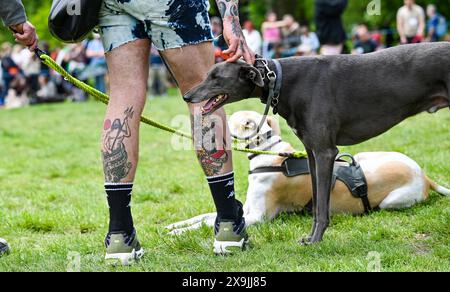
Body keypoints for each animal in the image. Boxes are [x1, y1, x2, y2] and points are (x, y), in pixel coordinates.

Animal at [167, 112, 448, 235]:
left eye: (234, 119)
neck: (270, 153)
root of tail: (425, 177)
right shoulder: (245, 209)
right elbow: (205, 216)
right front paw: (175, 226)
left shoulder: (257, 217)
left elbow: (208, 222)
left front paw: (179, 233)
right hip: (365, 156)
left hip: (392, 201)